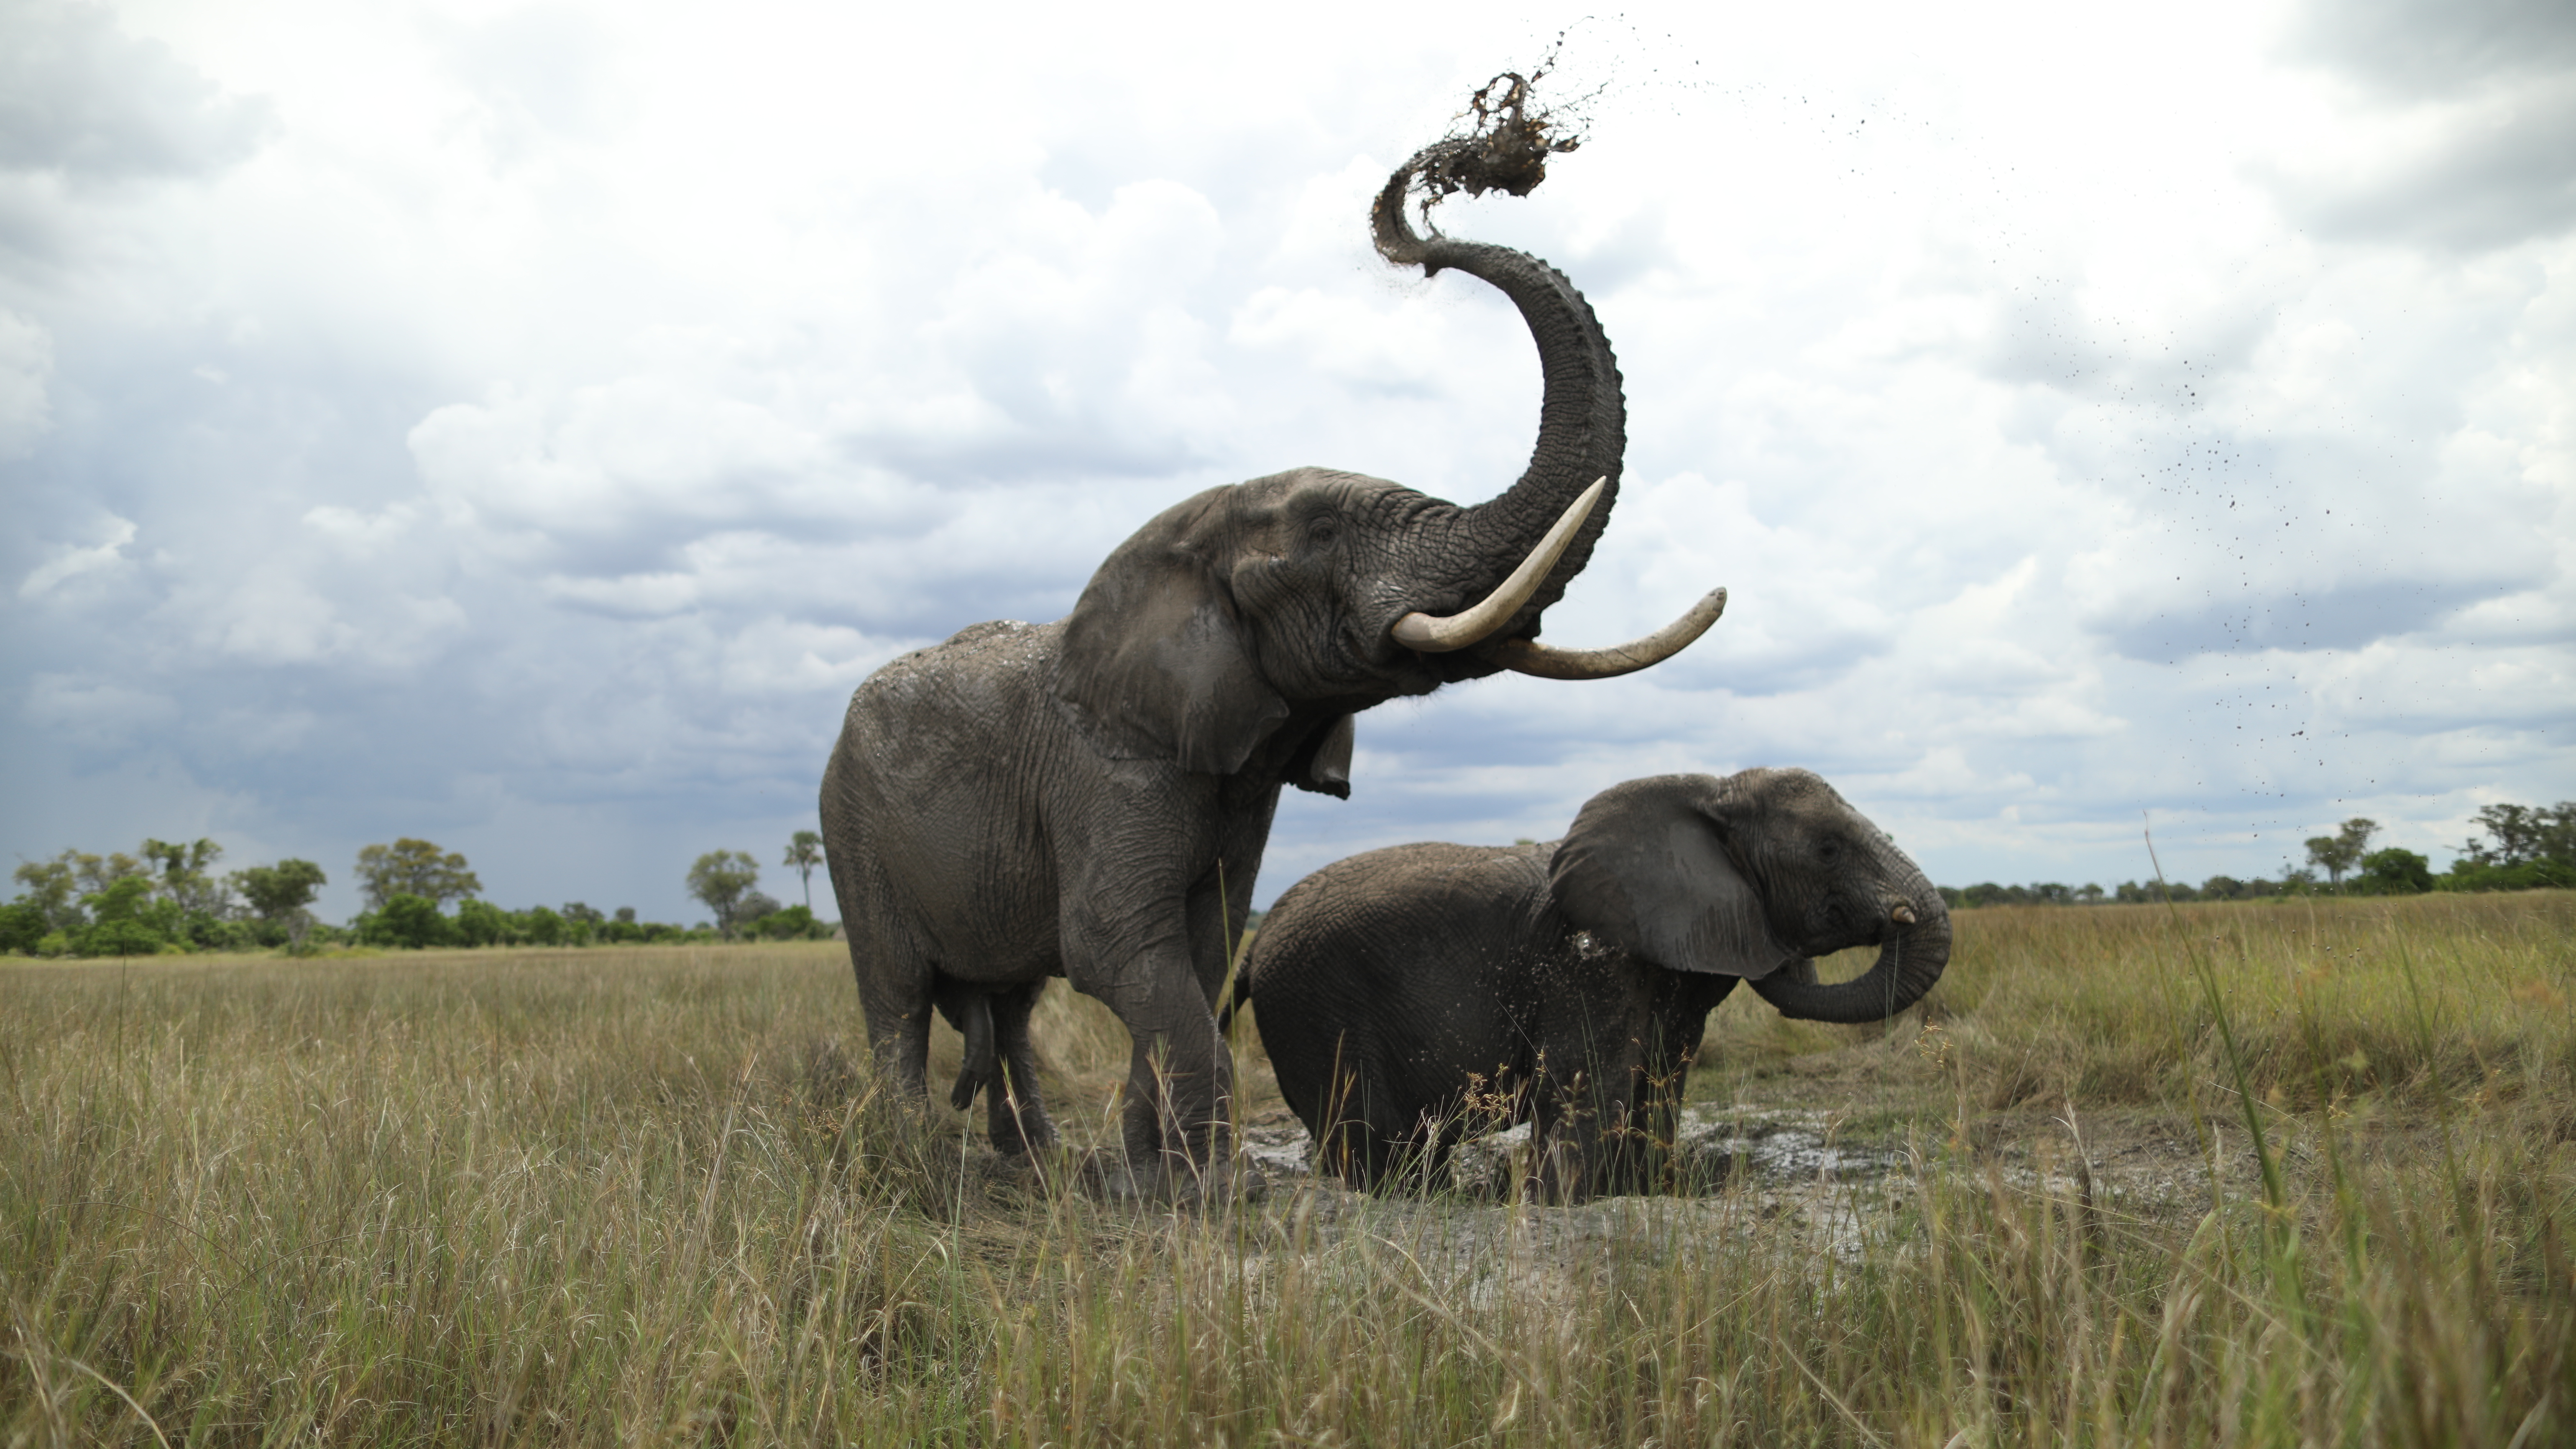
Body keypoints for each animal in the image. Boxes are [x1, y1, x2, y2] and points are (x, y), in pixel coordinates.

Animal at [820, 83, 1724, 1192]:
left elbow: (1200, 951)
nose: (1419, 214)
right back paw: (917, 1164)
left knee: (1012, 1003)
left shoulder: (1236, 781)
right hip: (849, 827)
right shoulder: (1111, 770)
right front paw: (1209, 1195)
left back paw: (1032, 1163)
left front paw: (1159, 1180)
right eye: (1325, 536)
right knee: (899, 996)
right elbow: (1120, 948)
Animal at [1231, 768, 1952, 1201]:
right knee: (1375, 1146)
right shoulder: (1590, 960)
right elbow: (1590, 1094)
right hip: (1316, 1008)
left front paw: (1642, 1192)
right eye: (1829, 850)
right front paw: (1562, 1207)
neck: (1710, 792)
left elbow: (1659, 1092)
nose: (1895, 914)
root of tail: (1255, 947)